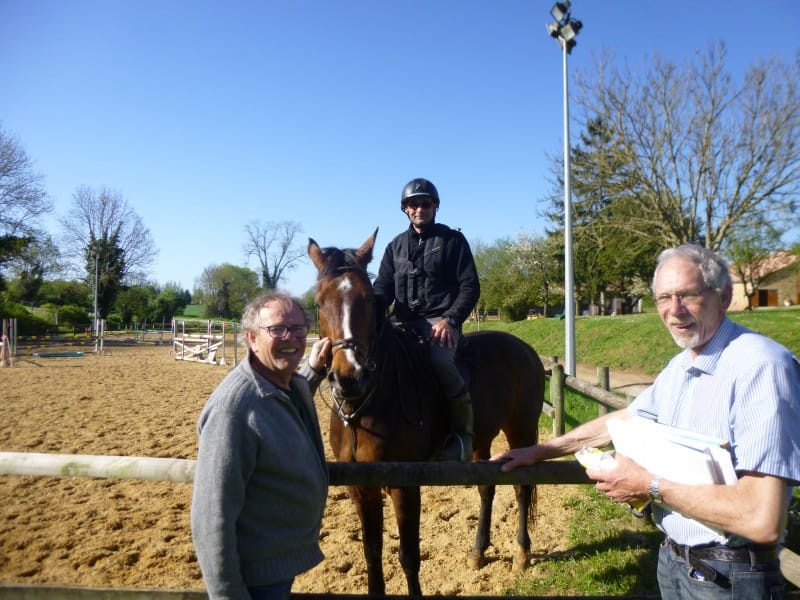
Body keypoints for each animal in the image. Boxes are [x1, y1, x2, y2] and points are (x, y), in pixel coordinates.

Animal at [310, 230, 548, 596]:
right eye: (320, 303)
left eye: (368, 300)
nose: (349, 377)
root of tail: (524, 349)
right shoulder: (359, 487)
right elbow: (371, 552)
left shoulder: (404, 486)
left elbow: (408, 554)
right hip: (481, 440)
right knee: (487, 488)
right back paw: (478, 552)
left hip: (521, 431)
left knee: (521, 489)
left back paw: (521, 554)